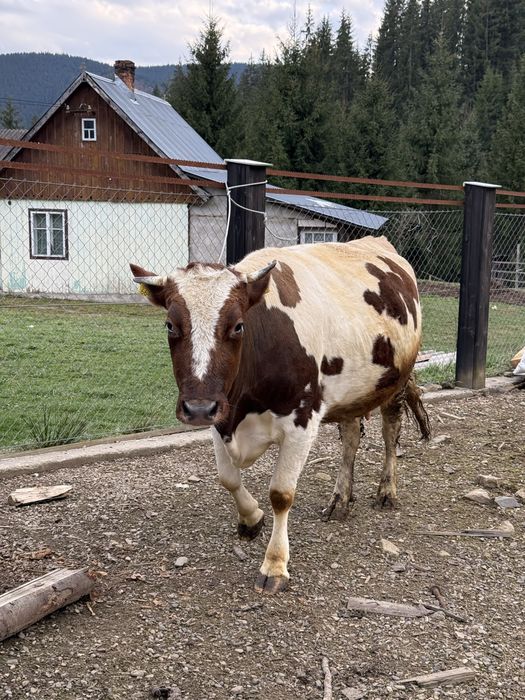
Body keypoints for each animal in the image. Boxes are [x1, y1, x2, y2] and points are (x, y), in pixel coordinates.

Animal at [130, 235, 430, 594]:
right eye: (170, 325)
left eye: (238, 326)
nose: (199, 408)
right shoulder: (222, 414)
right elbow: (228, 478)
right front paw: (251, 518)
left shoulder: (303, 419)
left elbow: (281, 494)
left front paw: (275, 564)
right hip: (351, 392)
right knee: (351, 438)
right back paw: (340, 499)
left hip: (394, 381)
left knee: (390, 432)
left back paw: (386, 491)